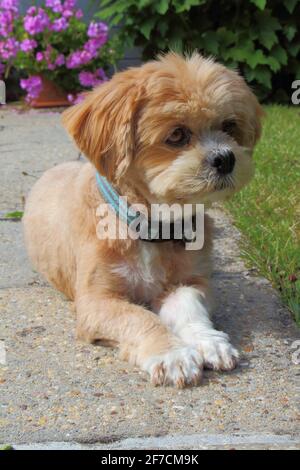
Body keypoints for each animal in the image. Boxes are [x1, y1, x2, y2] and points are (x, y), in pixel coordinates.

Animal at [23, 53, 262, 388]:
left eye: (229, 126)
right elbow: (139, 317)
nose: (225, 158)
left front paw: (207, 341)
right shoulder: (95, 302)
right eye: (177, 135)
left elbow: (188, 304)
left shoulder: (193, 281)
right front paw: (171, 353)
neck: (150, 228)